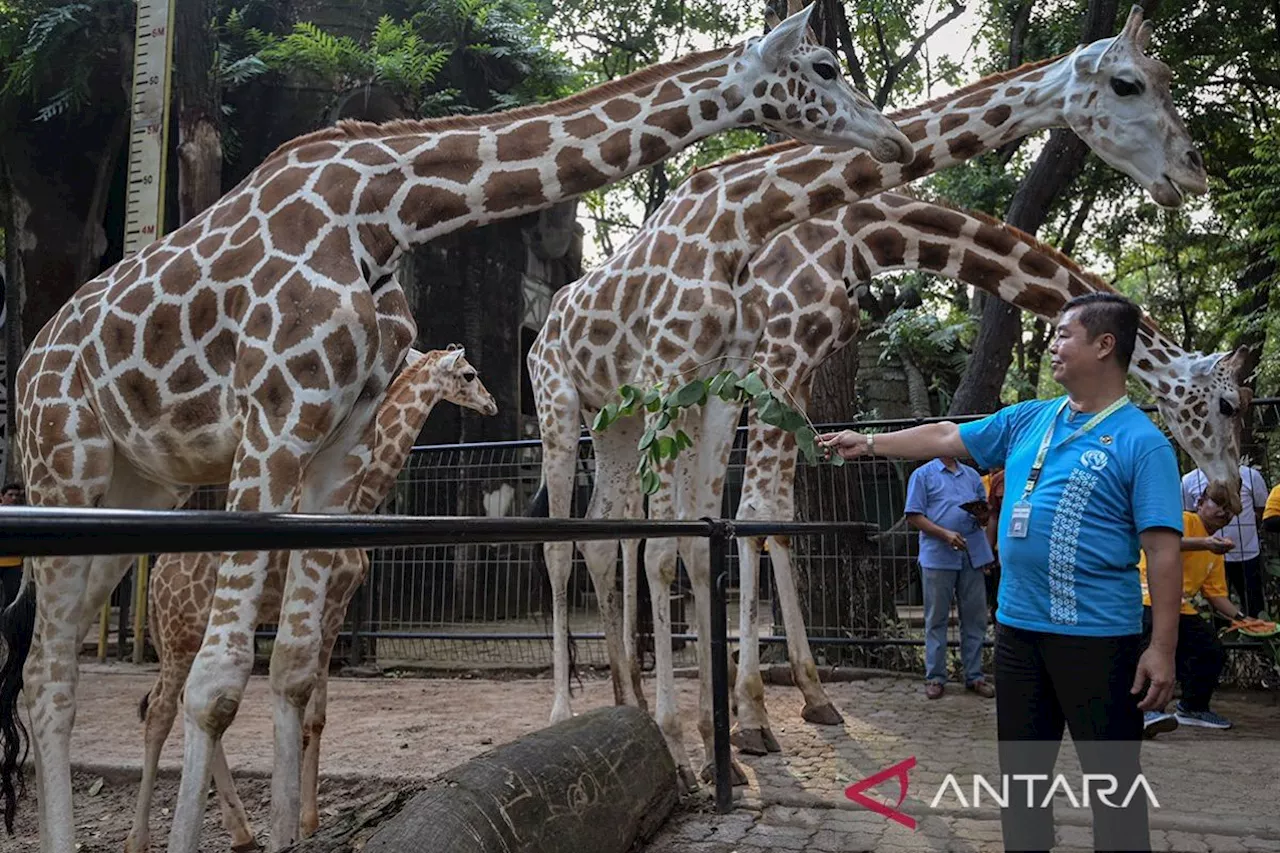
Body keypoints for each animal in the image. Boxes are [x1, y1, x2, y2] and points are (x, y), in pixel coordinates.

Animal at [124, 345, 494, 850]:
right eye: (469, 374)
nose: (491, 404)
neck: (363, 500)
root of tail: (156, 579)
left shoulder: (335, 607)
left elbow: (312, 714)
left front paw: (301, 819)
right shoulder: (333, 604)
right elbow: (313, 717)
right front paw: (308, 822)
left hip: (185, 634)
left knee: (184, 704)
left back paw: (241, 832)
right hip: (180, 634)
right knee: (161, 710)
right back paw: (139, 839)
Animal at [529, 3, 1208, 783]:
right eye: (1129, 84)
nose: (1192, 171)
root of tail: (546, 326)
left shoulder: (737, 380)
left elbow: (735, 529)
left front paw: (743, 718)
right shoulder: (749, 361)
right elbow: (733, 524)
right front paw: (735, 721)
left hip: (615, 416)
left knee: (604, 531)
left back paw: (630, 699)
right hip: (560, 404)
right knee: (562, 543)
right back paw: (571, 713)